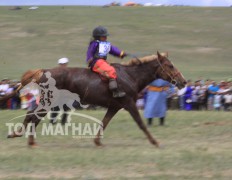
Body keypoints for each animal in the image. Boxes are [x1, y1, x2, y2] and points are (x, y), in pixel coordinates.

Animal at [5, 51, 187, 147]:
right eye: (170, 65)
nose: (183, 82)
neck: (131, 76)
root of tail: (44, 72)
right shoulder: (129, 104)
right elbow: (141, 123)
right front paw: (154, 141)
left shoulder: (114, 107)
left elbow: (104, 122)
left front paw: (97, 141)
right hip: (49, 102)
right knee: (34, 116)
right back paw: (27, 140)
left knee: (31, 114)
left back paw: (19, 135)